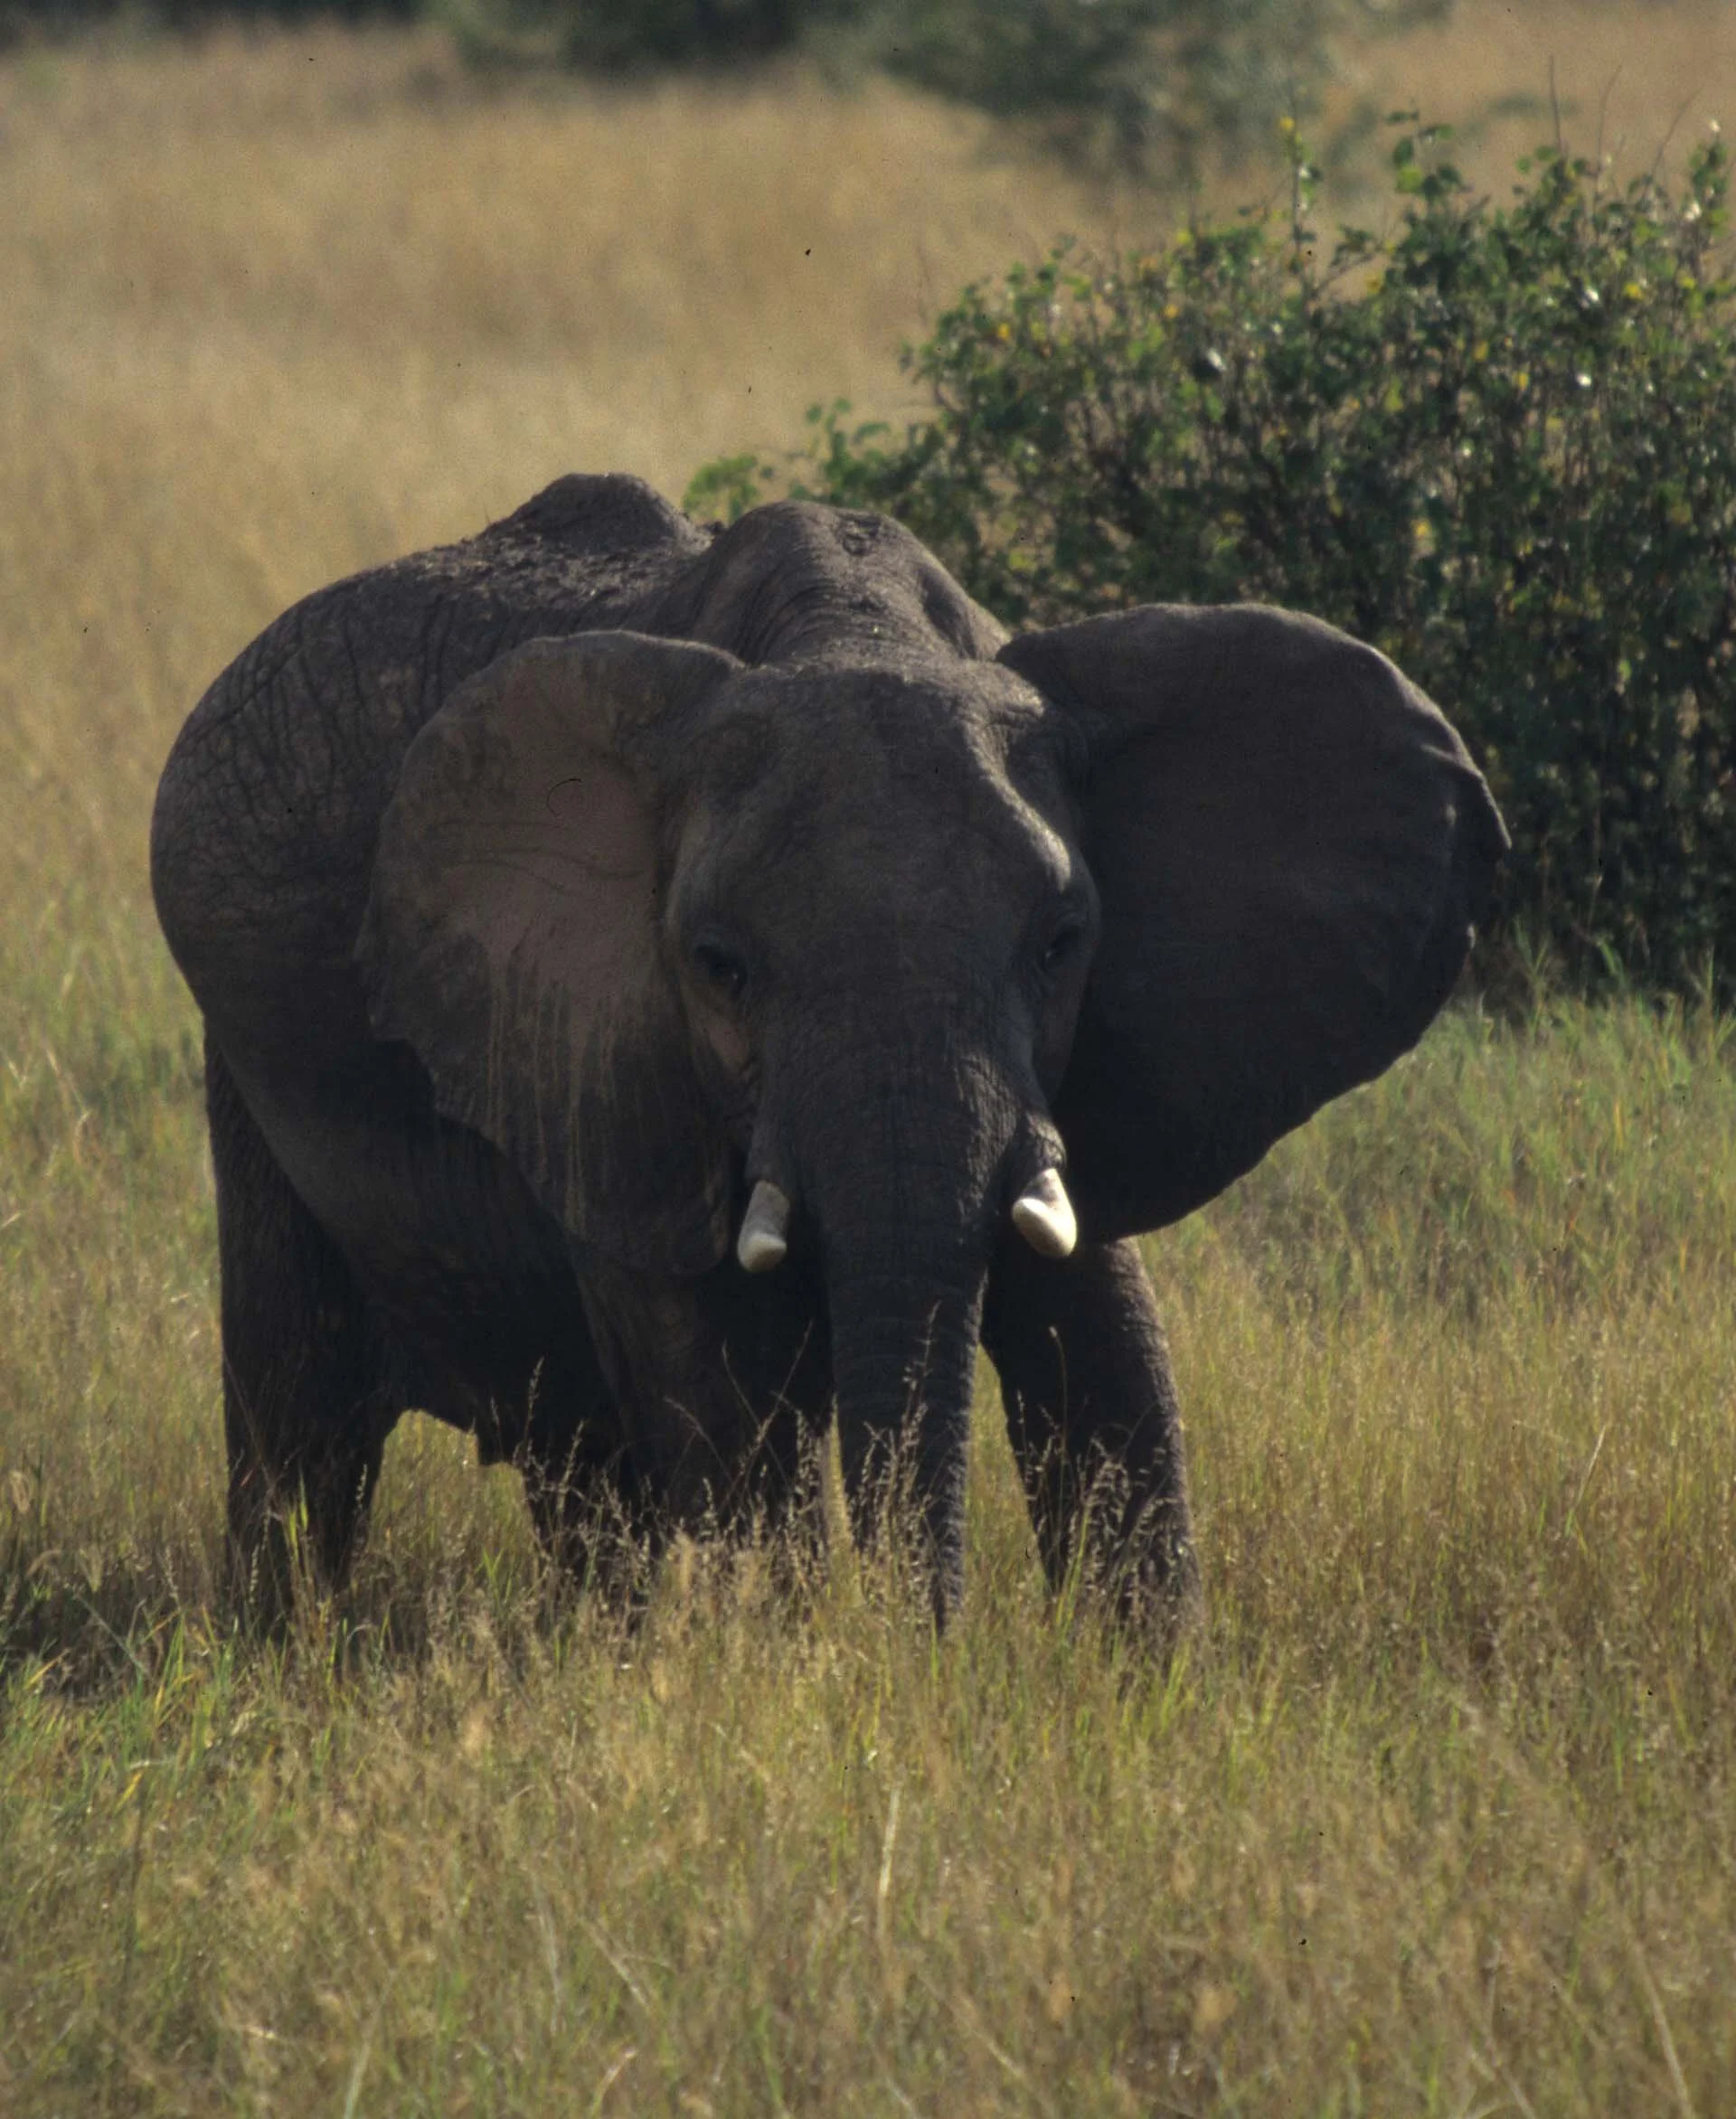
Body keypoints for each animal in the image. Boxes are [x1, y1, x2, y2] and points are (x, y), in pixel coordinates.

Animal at [150, 472, 1506, 1627]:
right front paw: (804, 1673)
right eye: (720, 965)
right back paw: (283, 1652)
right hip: (249, 1072)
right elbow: (727, 1398)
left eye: (1063, 943)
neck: (853, 636)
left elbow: (1112, 1354)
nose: (939, 1662)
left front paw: (1145, 1693)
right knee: (304, 1414)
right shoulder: (602, 1043)